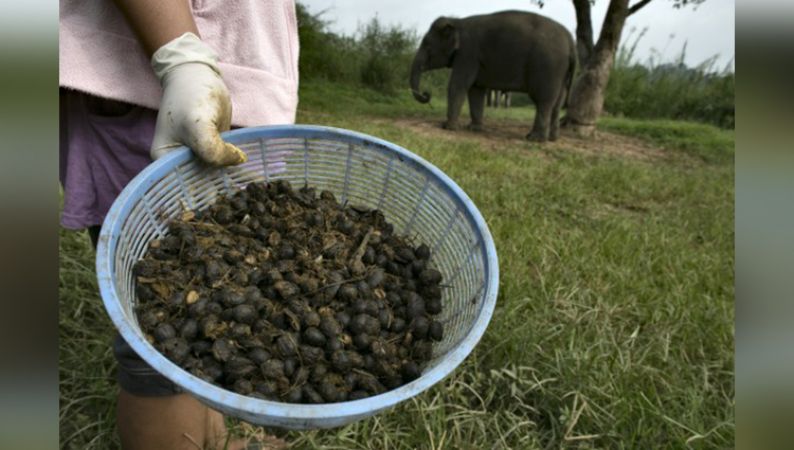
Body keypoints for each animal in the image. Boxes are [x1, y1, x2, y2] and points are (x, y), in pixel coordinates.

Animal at [408, 10, 576, 142]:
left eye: (427, 46)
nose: (426, 94)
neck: (457, 22)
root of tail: (570, 41)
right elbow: (475, 90)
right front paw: (473, 128)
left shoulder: (468, 53)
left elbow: (458, 85)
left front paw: (448, 127)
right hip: (561, 72)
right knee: (557, 103)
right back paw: (553, 139)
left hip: (549, 66)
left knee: (543, 101)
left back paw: (534, 139)